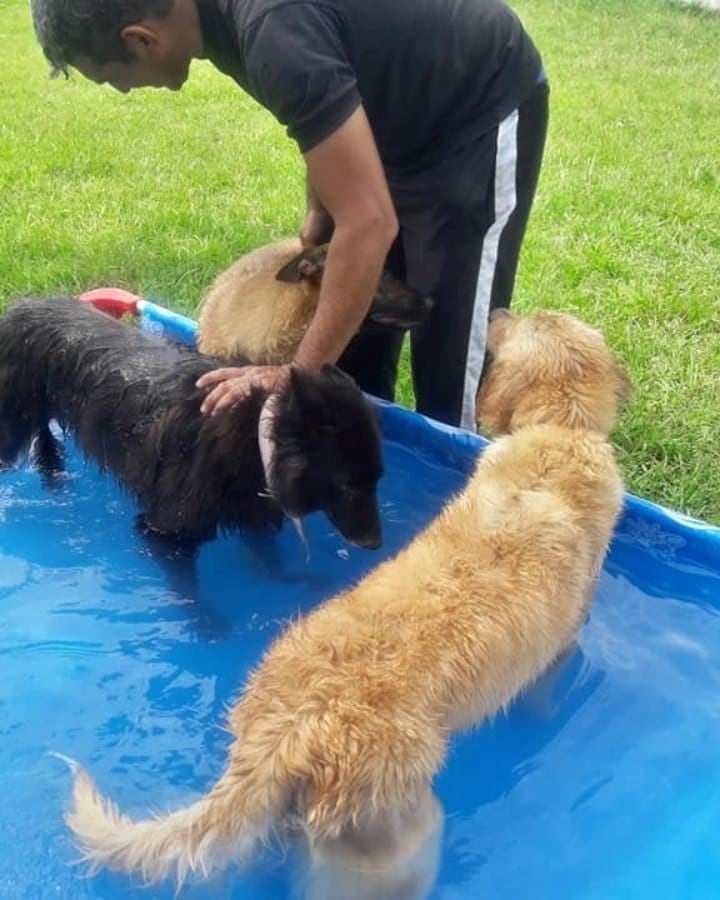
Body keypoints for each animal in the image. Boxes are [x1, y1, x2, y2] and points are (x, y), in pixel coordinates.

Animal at [0, 298, 386, 548]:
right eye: (349, 485)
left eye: (377, 479)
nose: (376, 546)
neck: (257, 436)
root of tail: (19, 305)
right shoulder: (166, 532)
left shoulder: (252, 520)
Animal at [56, 310, 632, 900]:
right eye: (532, 319)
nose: (496, 313)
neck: (558, 433)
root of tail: (285, 733)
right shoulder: (562, 642)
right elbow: (544, 690)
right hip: (400, 839)